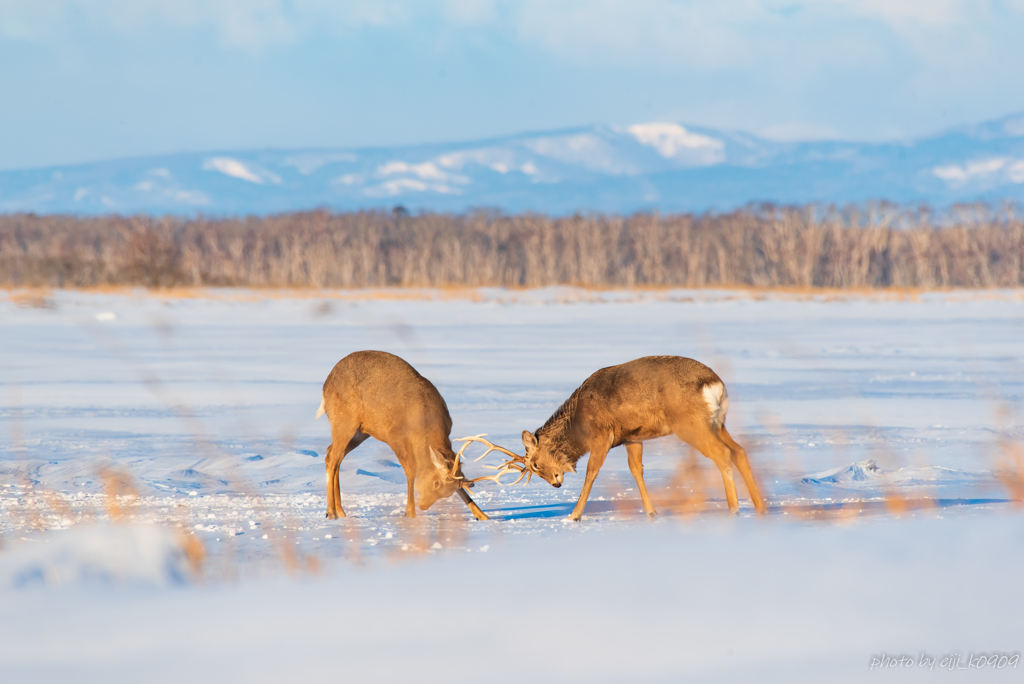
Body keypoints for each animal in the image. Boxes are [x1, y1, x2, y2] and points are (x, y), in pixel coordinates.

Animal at [313, 352, 501, 518]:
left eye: (447, 493)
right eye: (436, 483)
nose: (423, 506)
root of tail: (325, 386)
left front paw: (482, 516)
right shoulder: (395, 436)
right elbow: (411, 471)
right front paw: (410, 513)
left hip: (361, 432)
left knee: (333, 455)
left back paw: (340, 512)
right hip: (344, 422)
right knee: (332, 458)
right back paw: (331, 512)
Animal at [516, 356, 765, 520]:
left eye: (535, 465)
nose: (556, 483)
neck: (579, 424)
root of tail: (715, 385)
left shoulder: (602, 436)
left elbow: (591, 472)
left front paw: (573, 516)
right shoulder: (632, 438)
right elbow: (637, 470)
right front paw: (652, 513)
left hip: (690, 424)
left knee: (723, 453)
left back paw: (734, 509)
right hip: (717, 423)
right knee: (739, 451)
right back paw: (761, 508)